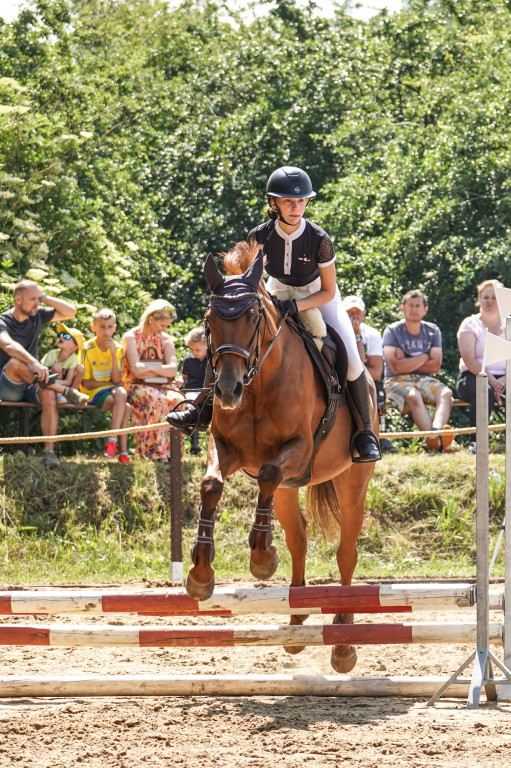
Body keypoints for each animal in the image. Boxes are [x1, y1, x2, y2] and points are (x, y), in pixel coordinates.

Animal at [186, 242, 378, 672]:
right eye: (209, 320)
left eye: (253, 316)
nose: (227, 390)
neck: (258, 384)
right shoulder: (225, 448)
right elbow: (211, 485)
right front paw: (201, 573)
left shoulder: (298, 449)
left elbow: (269, 472)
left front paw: (260, 557)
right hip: (293, 490)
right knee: (299, 539)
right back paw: (295, 622)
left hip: (352, 481)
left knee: (346, 552)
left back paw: (343, 644)